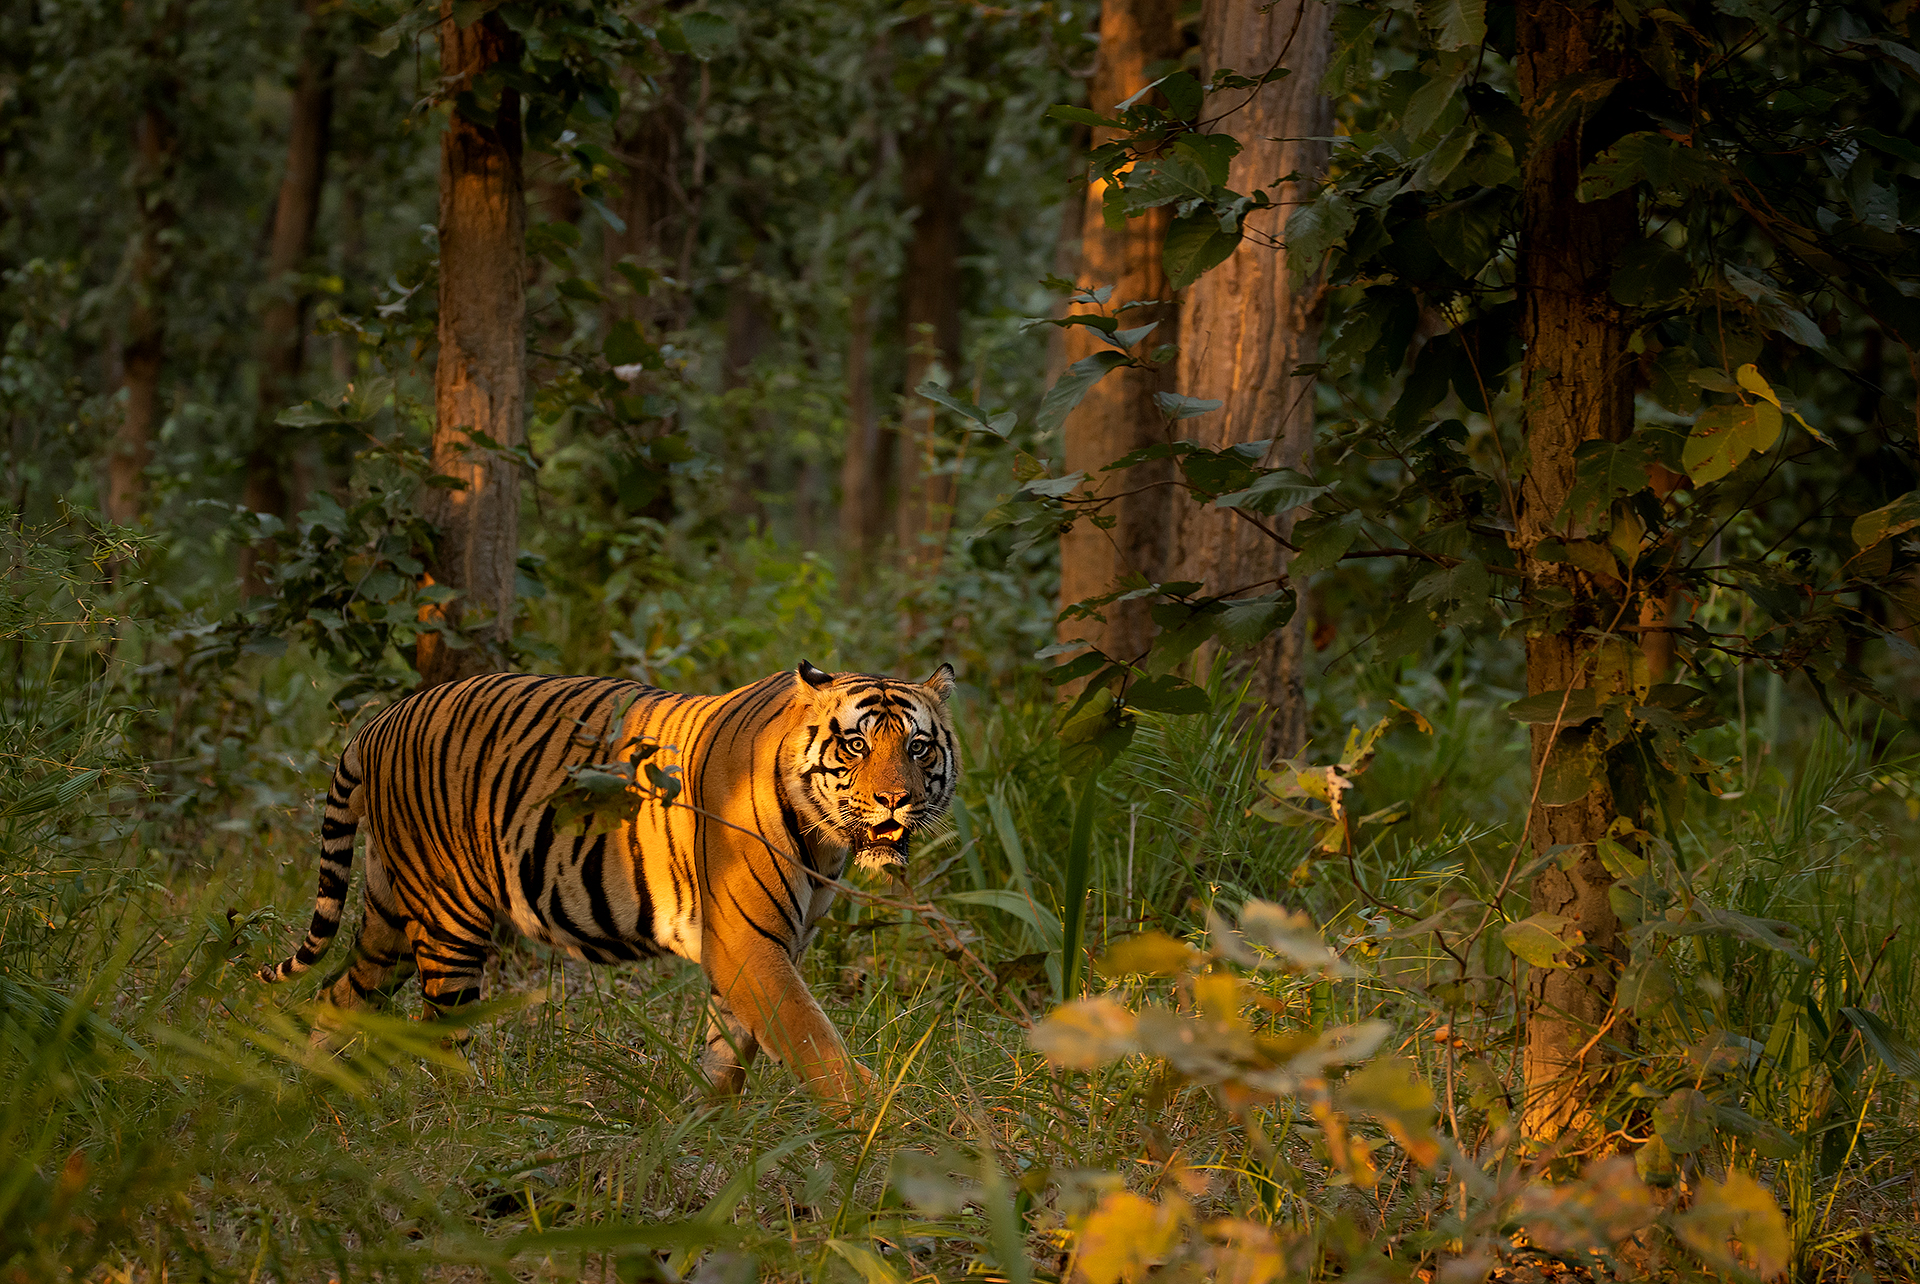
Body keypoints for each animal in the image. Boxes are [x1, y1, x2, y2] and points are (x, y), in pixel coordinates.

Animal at [258, 660, 958, 1110]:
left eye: (918, 748)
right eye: (855, 746)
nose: (896, 800)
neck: (825, 840)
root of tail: (380, 722)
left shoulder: (763, 946)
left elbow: (730, 1044)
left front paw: (706, 1124)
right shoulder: (749, 940)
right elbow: (812, 1039)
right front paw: (876, 1123)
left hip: (390, 914)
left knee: (339, 994)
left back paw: (302, 1102)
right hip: (449, 914)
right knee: (443, 1028)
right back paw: (475, 1115)